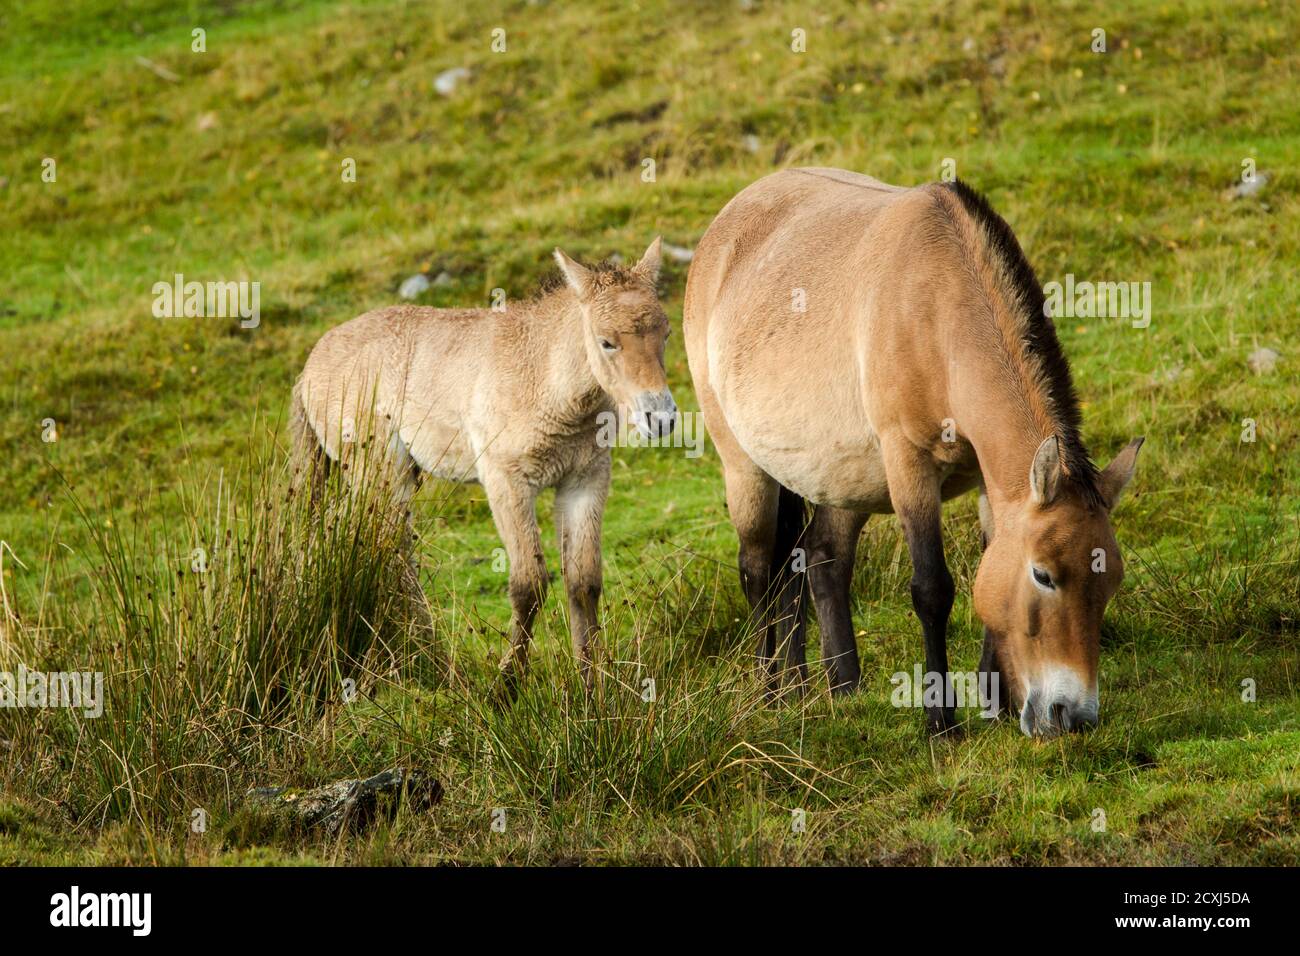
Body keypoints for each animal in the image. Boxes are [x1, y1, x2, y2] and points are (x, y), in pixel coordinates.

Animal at [292, 239, 681, 697]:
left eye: (666, 333)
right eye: (607, 342)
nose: (661, 418)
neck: (541, 377)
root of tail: (311, 366)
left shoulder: (584, 481)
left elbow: (583, 581)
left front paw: (592, 687)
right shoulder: (507, 482)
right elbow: (529, 584)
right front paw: (507, 687)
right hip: (377, 472)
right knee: (382, 551)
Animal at [686, 170, 1144, 738]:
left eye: (1111, 582)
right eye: (1044, 575)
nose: (1074, 716)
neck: (938, 308)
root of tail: (722, 231)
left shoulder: (989, 479)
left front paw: (995, 705)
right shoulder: (908, 464)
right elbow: (932, 589)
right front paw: (940, 720)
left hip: (837, 477)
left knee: (818, 558)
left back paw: (829, 688)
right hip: (746, 467)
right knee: (757, 571)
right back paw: (770, 693)